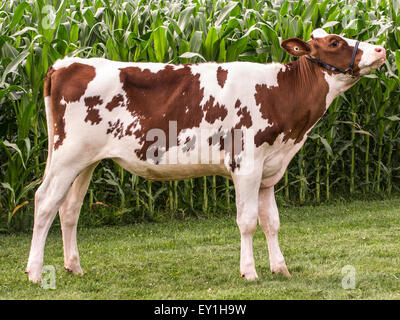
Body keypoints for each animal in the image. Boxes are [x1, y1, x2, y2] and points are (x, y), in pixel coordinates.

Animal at [26, 28, 386, 282]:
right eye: (336, 42)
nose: (382, 49)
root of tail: (66, 63)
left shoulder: (269, 170)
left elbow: (272, 222)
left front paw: (280, 269)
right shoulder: (246, 165)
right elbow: (248, 221)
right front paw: (249, 272)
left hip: (86, 161)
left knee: (69, 209)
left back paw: (74, 267)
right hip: (67, 155)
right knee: (44, 202)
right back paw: (34, 272)